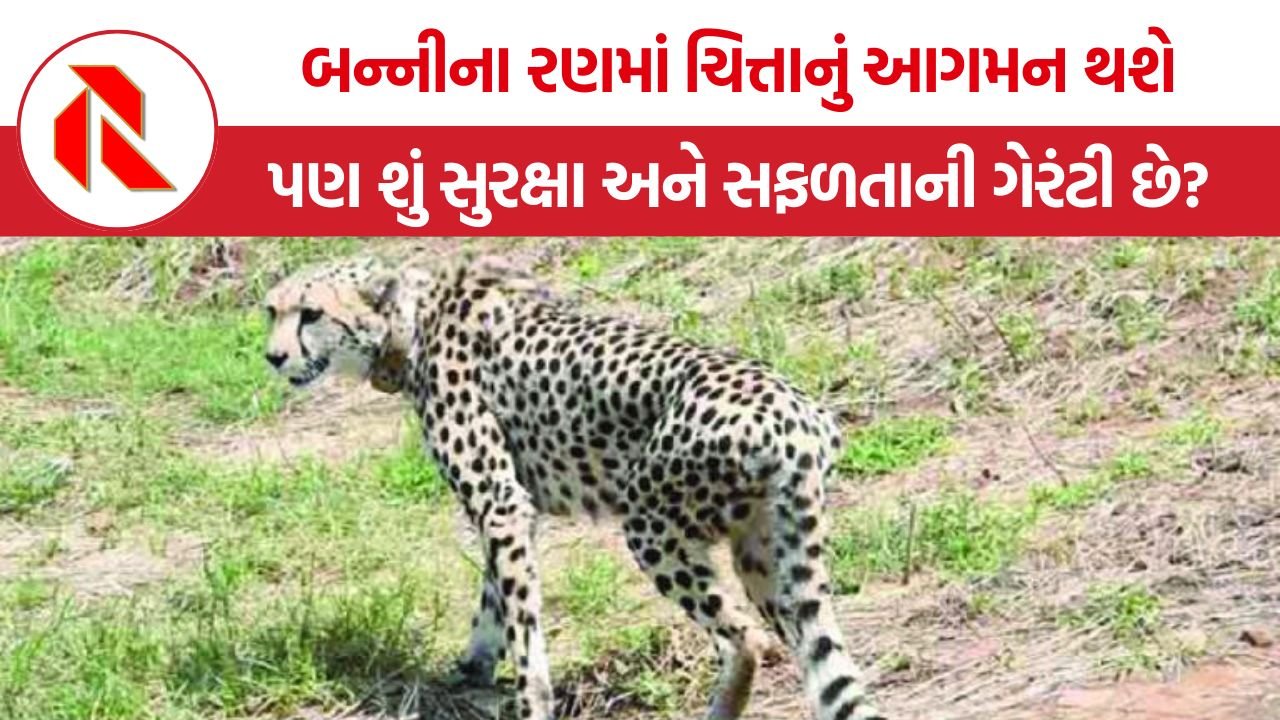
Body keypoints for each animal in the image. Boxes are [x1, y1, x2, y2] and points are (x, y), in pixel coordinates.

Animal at [262, 254, 885, 720]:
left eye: (311, 313)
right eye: (272, 311)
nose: (273, 356)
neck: (408, 320)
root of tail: (801, 415)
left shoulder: (500, 501)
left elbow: (523, 627)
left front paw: (528, 699)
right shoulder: (515, 507)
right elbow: (493, 598)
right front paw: (471, 668)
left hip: (651, 526)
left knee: (746, 640)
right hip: (768, 555)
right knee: (821, 662)